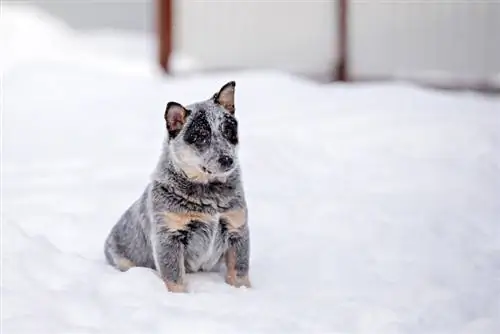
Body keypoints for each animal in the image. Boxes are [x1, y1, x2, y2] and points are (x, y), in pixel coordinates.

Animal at [102, 81, 250, 292]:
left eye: (228, 131)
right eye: (201, 136)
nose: (227, 159)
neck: (210, 194)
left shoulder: (237, 228)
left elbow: (239, 272)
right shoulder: (169, 235)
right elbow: (174, 277)